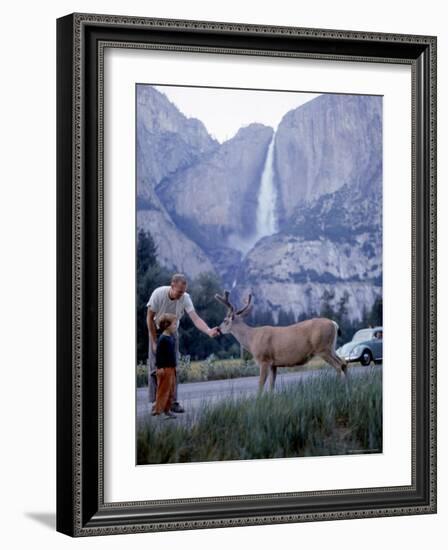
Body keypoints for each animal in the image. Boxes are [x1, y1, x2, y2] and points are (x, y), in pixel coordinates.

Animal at [215, 292, 348, 394]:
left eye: (225, 320)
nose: (218, 329)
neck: (251, 339)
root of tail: (334, 324)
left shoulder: (264, 359)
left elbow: (261, 383)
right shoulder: (274, 364)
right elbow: (271, 385)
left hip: (322, 348)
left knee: (338, 366)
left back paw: (339, 387)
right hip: (331, 347)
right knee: (344, 363)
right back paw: (348, 386)